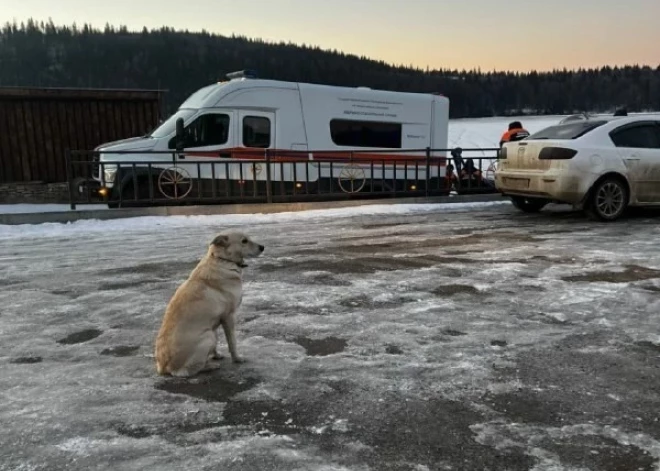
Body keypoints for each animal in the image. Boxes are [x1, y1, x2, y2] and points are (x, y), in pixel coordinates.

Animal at [156, 230, 264, 378]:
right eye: (244, 241)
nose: (262, 247)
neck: (222, 260)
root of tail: (164, 367)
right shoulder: (229, 316)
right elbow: (232, 342)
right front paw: (237, 358)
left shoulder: (216, 321)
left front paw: (216, 355)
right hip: (208, 337)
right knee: (187, 371)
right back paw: (210, 366)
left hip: (210, 334)